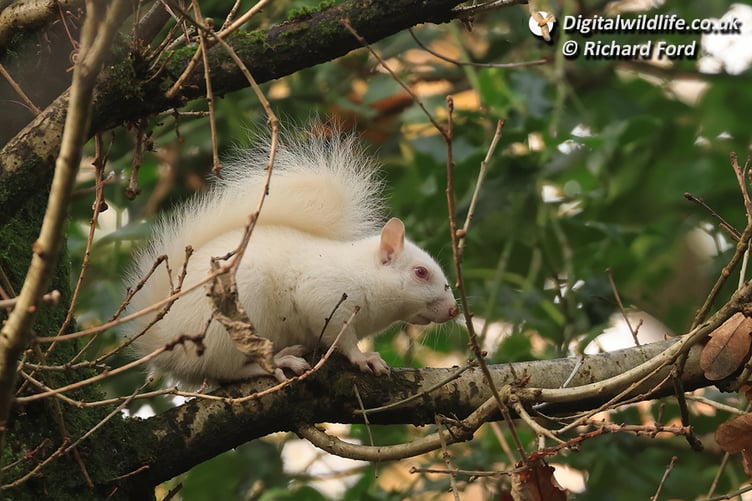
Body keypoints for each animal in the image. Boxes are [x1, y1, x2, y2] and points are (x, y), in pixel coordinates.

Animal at [124, 128, 459, 386]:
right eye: (420, 272)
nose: (454, 310)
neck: (364, 274)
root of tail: (164, 342)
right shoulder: (325, 297)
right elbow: (341, 337)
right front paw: (364, 357)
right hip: (231, 321)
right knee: (225, 369)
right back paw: (278, 362)